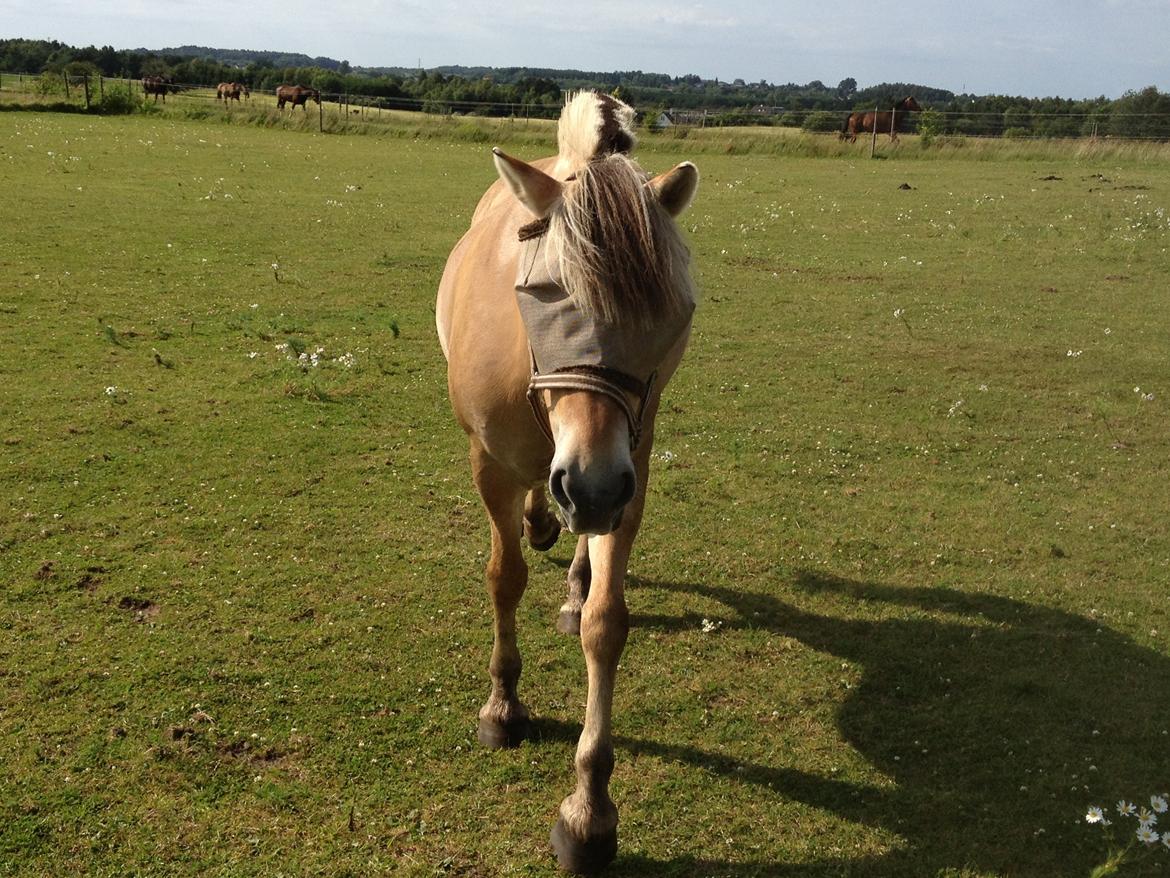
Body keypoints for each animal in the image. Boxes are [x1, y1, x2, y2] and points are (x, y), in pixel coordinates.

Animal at [435, 93, 697, 875]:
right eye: (545, 292)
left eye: (670, 312)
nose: (591, 487)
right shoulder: (489, 463)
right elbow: (503, 578)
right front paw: (502, 706)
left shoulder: (630, 469)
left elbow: (607, 626)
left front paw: (589, 809)